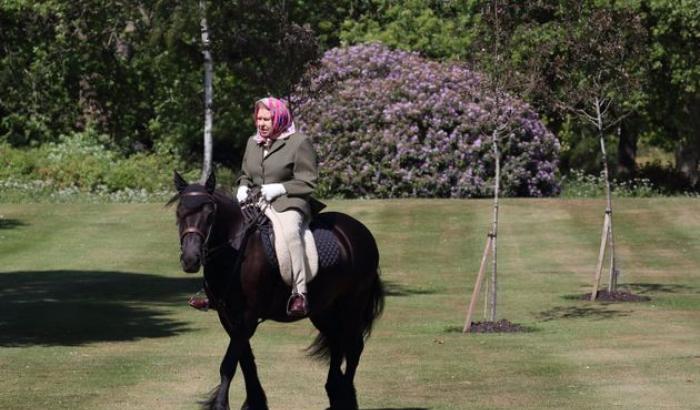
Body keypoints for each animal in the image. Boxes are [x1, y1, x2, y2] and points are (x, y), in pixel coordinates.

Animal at [171, 171, 384, 410]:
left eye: (210, 213)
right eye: (179, 212)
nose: (190, 259)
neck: (236, 250)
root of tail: (360, 231)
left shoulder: (247, 316)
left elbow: (229, 363)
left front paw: (220, 405)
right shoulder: (228, 317)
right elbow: (245, 361)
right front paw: (256, 402)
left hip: (352, 305)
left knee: (353, 346)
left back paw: (345, 396)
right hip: (323, 309)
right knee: (337, 342)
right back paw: (334, 394)